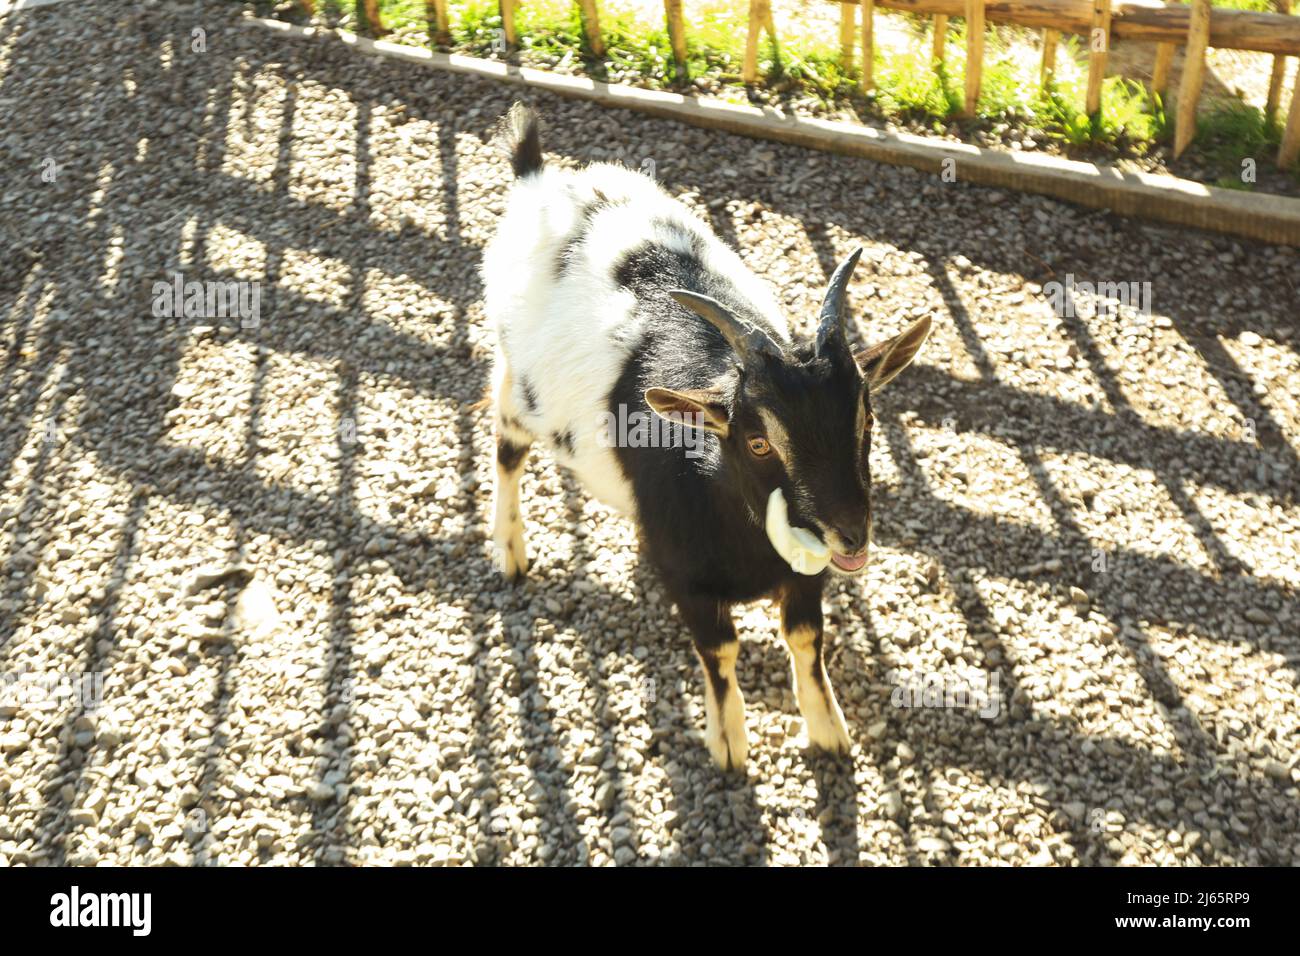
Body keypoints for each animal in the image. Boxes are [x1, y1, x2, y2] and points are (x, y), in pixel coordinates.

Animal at [482, 105, 931, 771]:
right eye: (759, 442)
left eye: (866, 420)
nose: (852, 532)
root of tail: (538, 178)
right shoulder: (690, 581)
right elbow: (721, 651)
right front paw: (729, 745)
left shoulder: (807, 571)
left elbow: (805, 637)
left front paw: (828, 730)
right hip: (519, 381)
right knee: (506, 443)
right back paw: (510, 550)